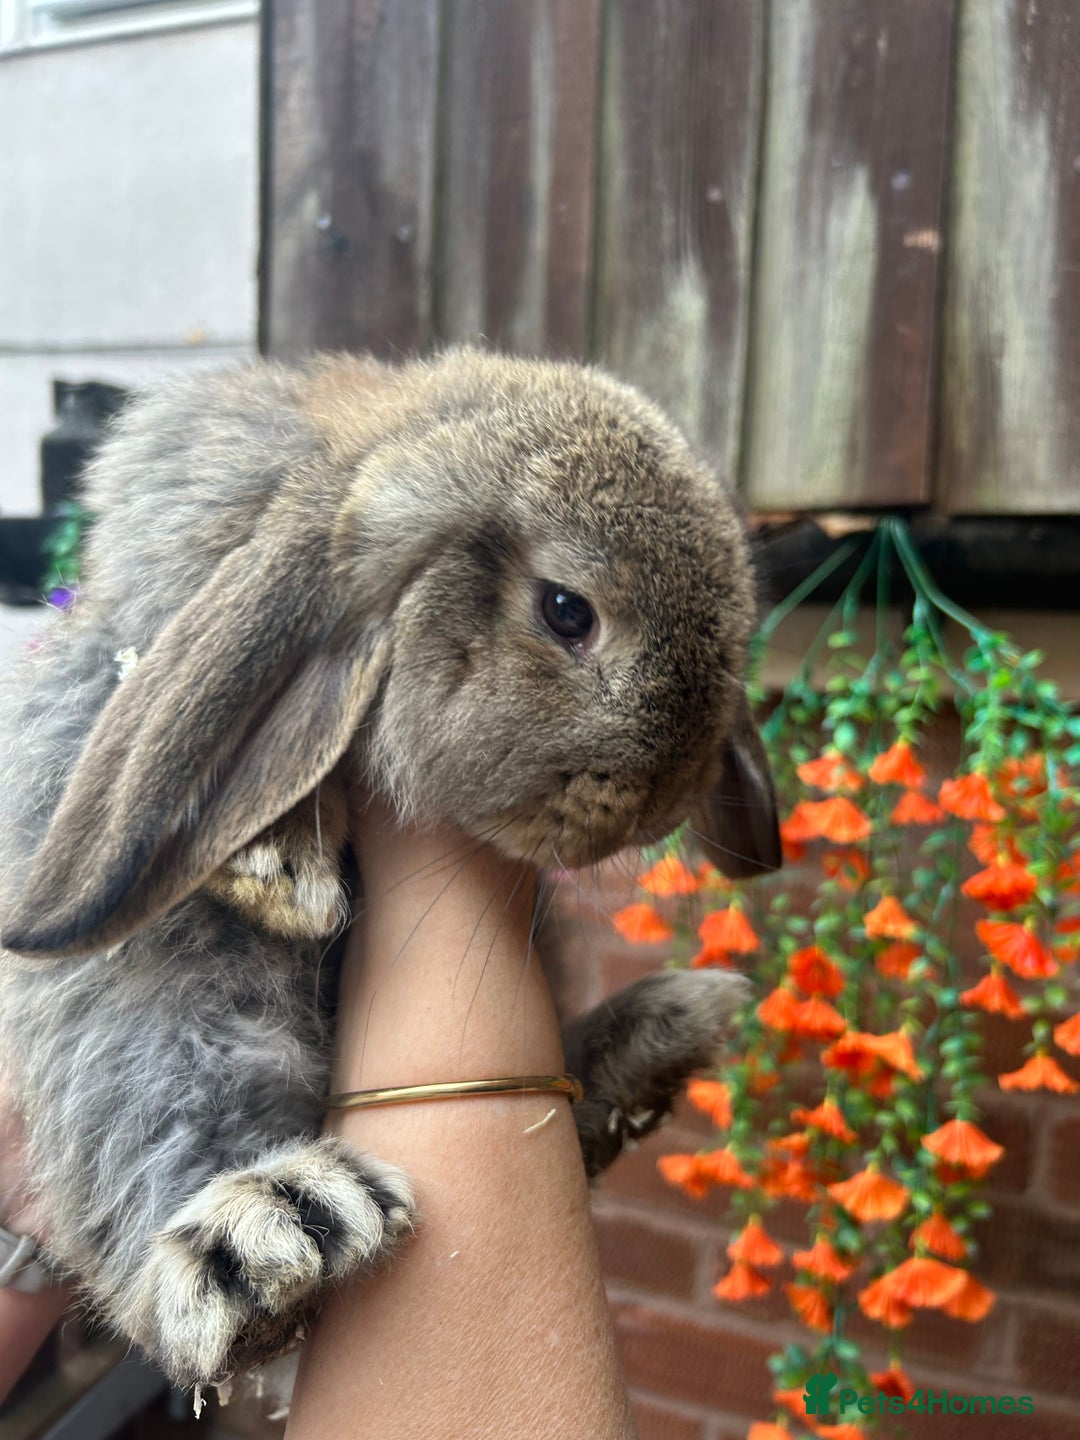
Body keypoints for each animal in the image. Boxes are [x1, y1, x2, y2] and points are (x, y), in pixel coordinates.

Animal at [0, 348, 779, 1390]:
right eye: (566, 612)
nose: (659, 800)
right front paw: (276, 863)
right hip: (141, 1024)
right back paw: (265, 1241)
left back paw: (662, 1040)